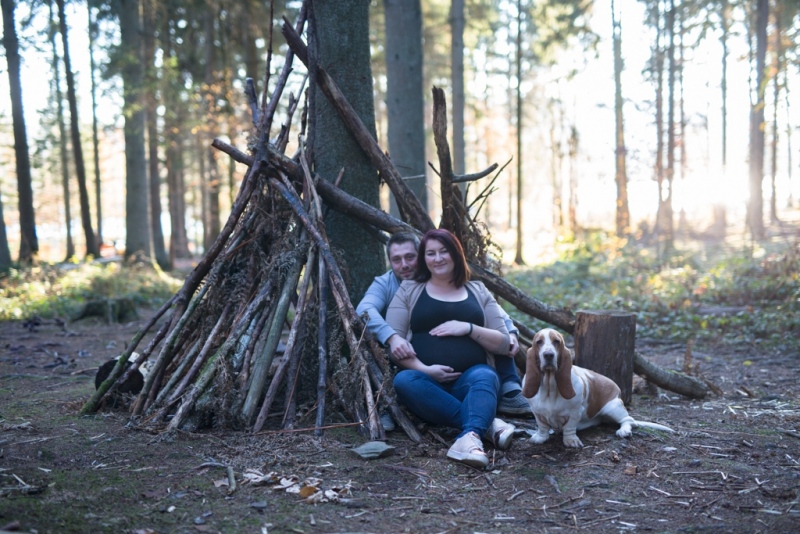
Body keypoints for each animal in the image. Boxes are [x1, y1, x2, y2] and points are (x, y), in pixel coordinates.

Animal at [520, 330, 672, 448]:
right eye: (539, 342)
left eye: (556, 341)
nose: (548, 355)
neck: (550, 386)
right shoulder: (537, 413)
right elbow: (542, 426)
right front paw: (540, 438)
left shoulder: (575, 412)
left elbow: (569, 427)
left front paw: (571, 440)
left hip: (613, 408)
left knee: (629, 420)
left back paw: (623, 431)